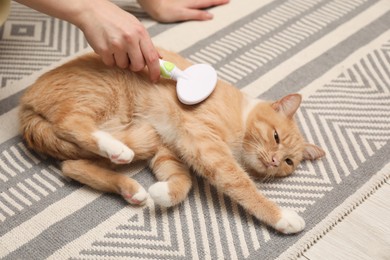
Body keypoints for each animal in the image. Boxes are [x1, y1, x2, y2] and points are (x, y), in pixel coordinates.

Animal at [20, 48, 326, 234]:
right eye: (275, 136)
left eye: (288, 161)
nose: (274, 161)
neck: (240, 117)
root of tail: (27, 100)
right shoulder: (206, 146)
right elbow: (242, 186)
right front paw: (282, 217)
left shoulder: (170, 149)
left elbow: (183, 181)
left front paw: (163, 193)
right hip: (104, 100)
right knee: (71, 124)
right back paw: (115, 148)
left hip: (129, 136)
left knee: (72, 166)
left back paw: (131, 188)